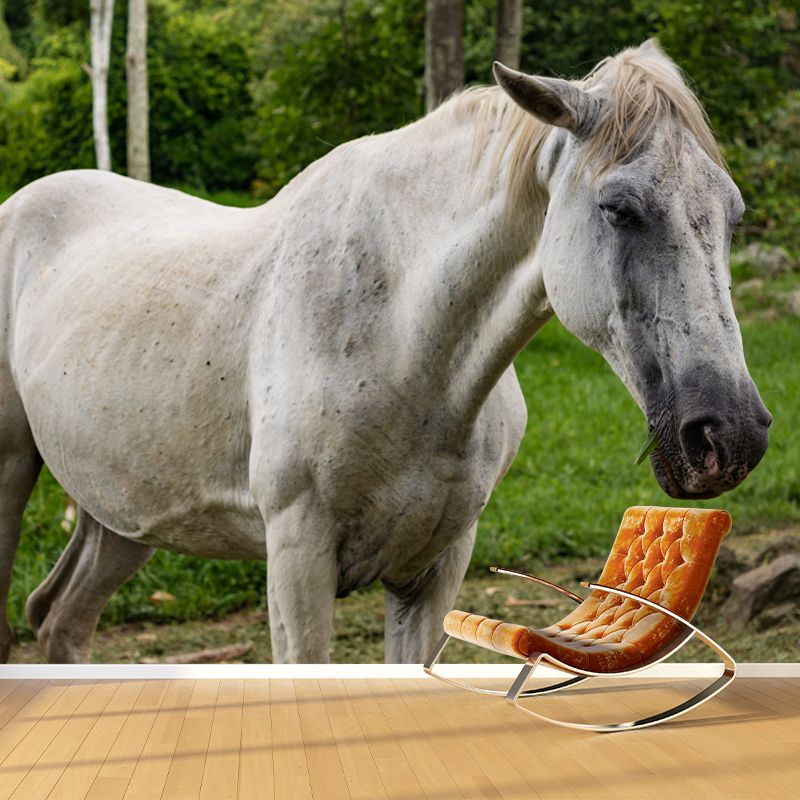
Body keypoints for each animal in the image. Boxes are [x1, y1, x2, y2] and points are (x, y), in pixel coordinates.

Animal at [0, 40, 770, 664]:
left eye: (733, 215)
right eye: (618, 208)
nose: (729, 435)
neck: (405, 345)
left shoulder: (435, 569)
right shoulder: (298, 558)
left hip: (122, 509)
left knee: (61, 619)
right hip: (20, 472)